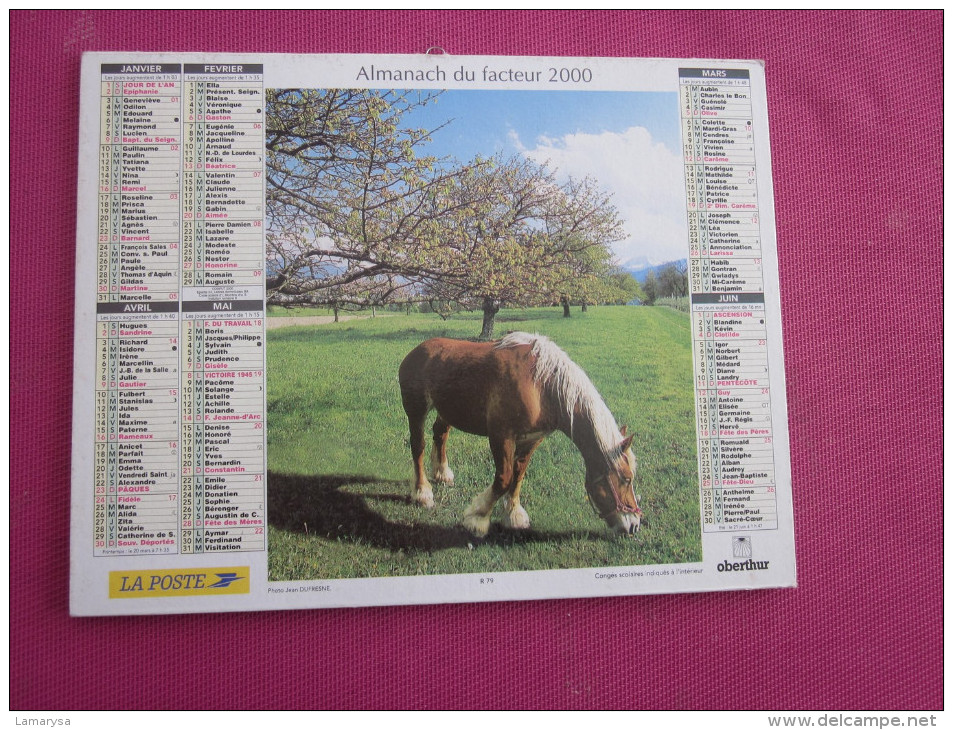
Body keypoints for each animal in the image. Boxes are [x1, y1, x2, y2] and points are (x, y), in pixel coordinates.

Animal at [394, 330, 640, 536]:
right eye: (626, 479)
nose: (634, 525)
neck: (542, 385)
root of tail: (417, 351)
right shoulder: (501, 436)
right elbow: (504, 478)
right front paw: (477, 518)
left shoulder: (532, 439)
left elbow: (518, 475)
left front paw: (513, 515)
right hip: (416, 410)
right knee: (418, 446)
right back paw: (422, 493)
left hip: (447, 410)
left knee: (440, 434)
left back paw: (442, 473)